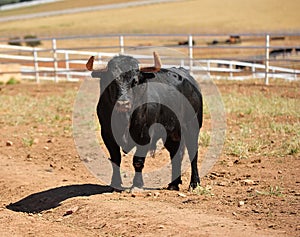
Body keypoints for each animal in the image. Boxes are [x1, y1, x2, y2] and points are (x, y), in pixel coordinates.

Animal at [86, 52, 204, 190]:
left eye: (135, 81)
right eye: (111, 81)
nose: (123, 104)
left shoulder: (144, 134)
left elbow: (138, 160)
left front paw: (137, 185)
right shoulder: (107, 134)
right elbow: (115, 158)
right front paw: (115, 183)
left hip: (192, 127)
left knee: (193, 153)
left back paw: (194, 183)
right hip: (172, 133)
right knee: (176, 154)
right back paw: (174, 184)